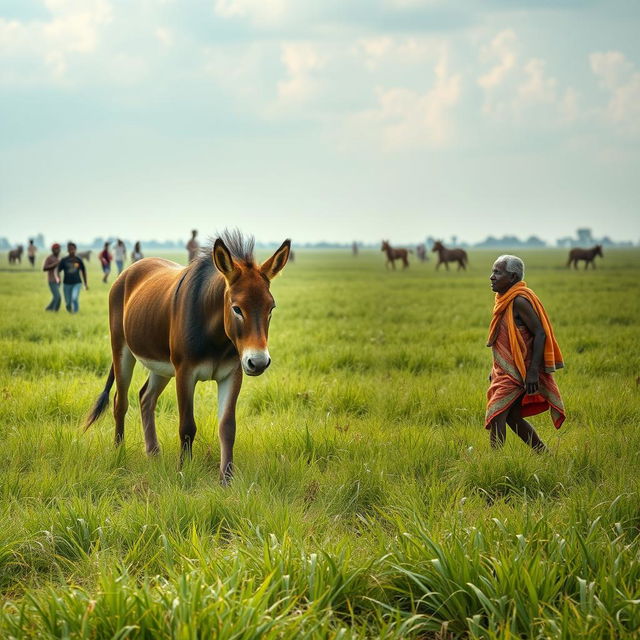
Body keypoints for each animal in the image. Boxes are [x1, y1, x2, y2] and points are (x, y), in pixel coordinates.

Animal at [86, 231, 292, 484]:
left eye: (271, 308)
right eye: (236, 309)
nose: (259, 362)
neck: (217, 338)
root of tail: (131, 269)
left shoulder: (232, 374)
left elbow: (227, 427)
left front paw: (227, 479)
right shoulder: (185, 372)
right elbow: (187, 426)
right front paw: (183, 471)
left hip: (161, 364)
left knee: (146, 397)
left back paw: (153, 453)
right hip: (122, 349)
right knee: (120, 402)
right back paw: (119, 452)